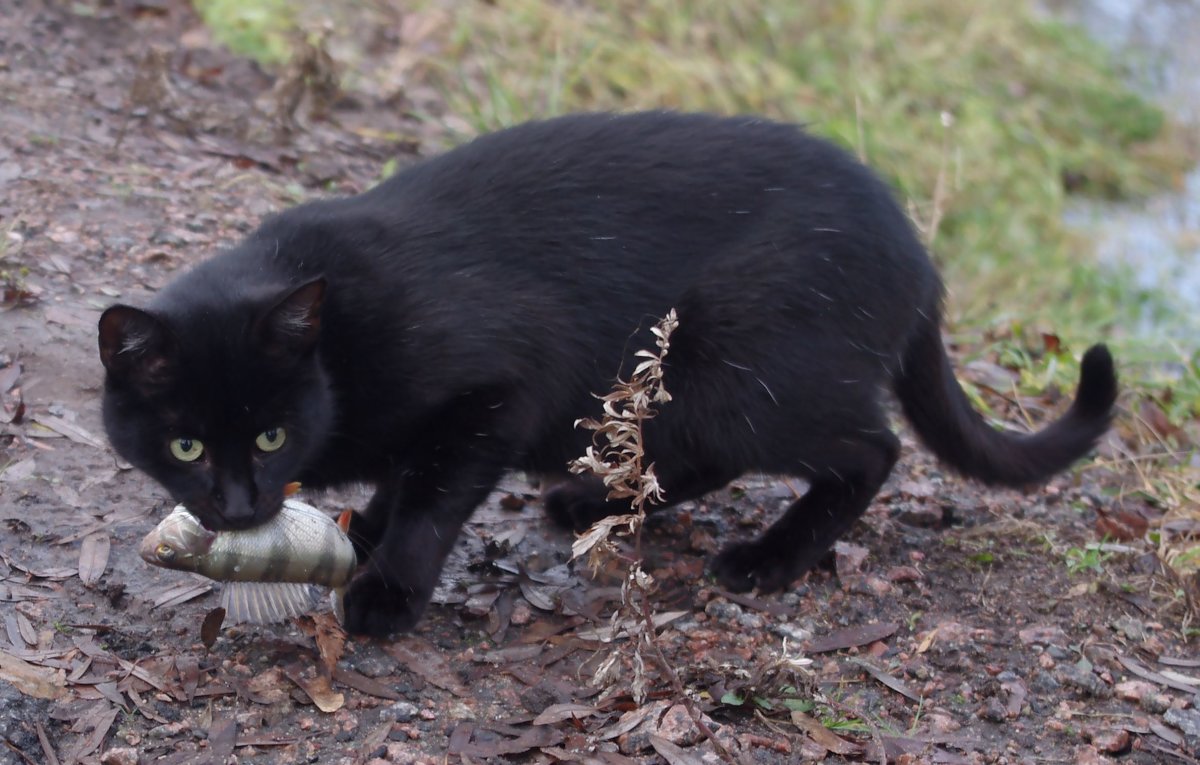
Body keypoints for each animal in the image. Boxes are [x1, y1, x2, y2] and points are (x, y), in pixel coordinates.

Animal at [96, 110, 1113, 637]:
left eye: (271, 433)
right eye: (185, 444)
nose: (237, 505)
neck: (338, 340)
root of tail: (918, 252)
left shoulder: (498, 391)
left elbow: (433, 495)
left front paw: (388, 587)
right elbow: (408, 476)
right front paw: (367, 531)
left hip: (739, 375)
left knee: (870, 449)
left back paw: (768, 560)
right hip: (688, 393)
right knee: (703, 457)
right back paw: (587, 501)